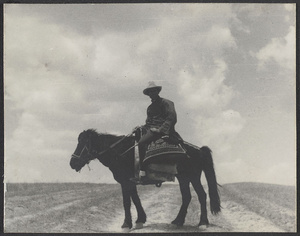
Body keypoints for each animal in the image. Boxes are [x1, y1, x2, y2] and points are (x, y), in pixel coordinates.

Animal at [69, 129, 220, 230]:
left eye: (83, 143)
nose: (72, 163)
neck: (121, 152)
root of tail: (199, 150)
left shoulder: (125, 181)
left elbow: (127, 202)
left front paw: (126, 224)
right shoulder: (130, 182)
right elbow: (135, 199)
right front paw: (140, 220)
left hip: (193, 177)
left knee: (201, 195)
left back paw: (202, 223)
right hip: (183, 178)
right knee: (187, 197)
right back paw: (178, 221)